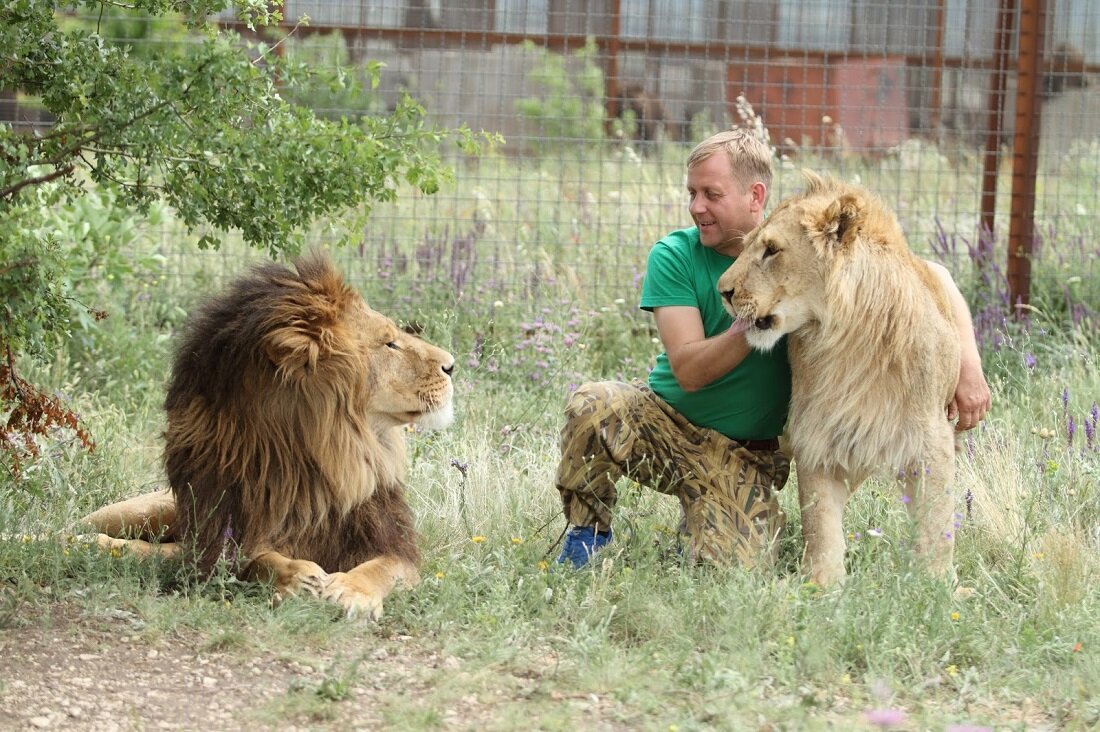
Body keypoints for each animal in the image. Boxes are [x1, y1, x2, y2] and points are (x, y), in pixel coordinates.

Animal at [80, 254, 451, 620]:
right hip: (144, 511)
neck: (328, 457)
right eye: (390, 343)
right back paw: (83, 543)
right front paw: (297, 577)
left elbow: (381, 568)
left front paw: (351, 591)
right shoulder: (229, 537)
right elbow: (258, 559)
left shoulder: (393, 544)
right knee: (87, 527)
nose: (452, 365)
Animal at [717, 171, 959, 590]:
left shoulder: (930, 436)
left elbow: (937, 517)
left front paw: (938, 585)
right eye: (748, 246)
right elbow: (820, 520)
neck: (851, 340)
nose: (723, 292)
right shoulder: (818, 431)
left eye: (771, 250)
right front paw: (821, 583)